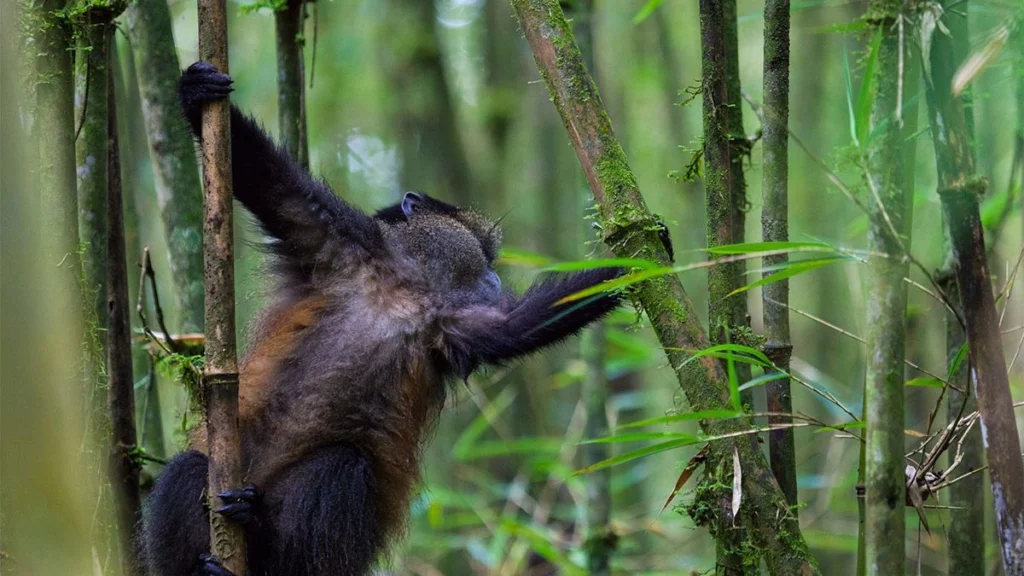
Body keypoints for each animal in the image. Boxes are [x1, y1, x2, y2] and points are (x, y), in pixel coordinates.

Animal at [139, 62, 640, 576]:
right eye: (485, 251)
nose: (495, 278)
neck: (405, 290)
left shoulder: (448, 321)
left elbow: (515, 327)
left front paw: (641, 255)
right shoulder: (341, 240)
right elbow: (272, 184)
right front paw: (196, 92)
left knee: (341, 466)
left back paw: (255, 524)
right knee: (188, 469)